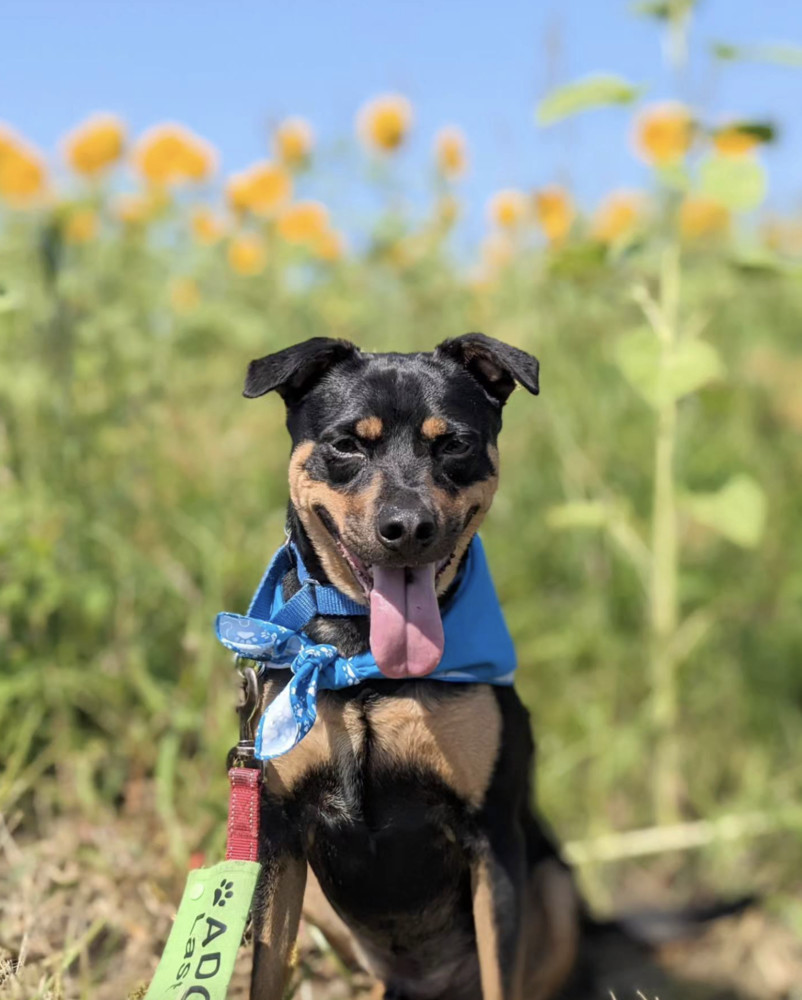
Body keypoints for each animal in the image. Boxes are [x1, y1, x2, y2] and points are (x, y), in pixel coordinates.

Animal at [231, 336, 736, 1000]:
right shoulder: (282, 836)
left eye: (454, 443)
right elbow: (265, 968)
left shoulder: (492, 841)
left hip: (552, 888)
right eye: (347, 444)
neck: (366, 663)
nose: (408, 527)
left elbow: (503, 973)